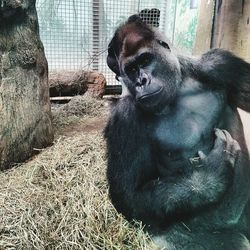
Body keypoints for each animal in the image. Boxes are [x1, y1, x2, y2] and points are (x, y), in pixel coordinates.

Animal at [104, 15, 250, 250]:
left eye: (145, 60)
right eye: (131, 70)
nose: (141, 81)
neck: (178, 87)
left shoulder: (219, 64)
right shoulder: (123, 117)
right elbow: (129, 195)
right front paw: (210, 177)